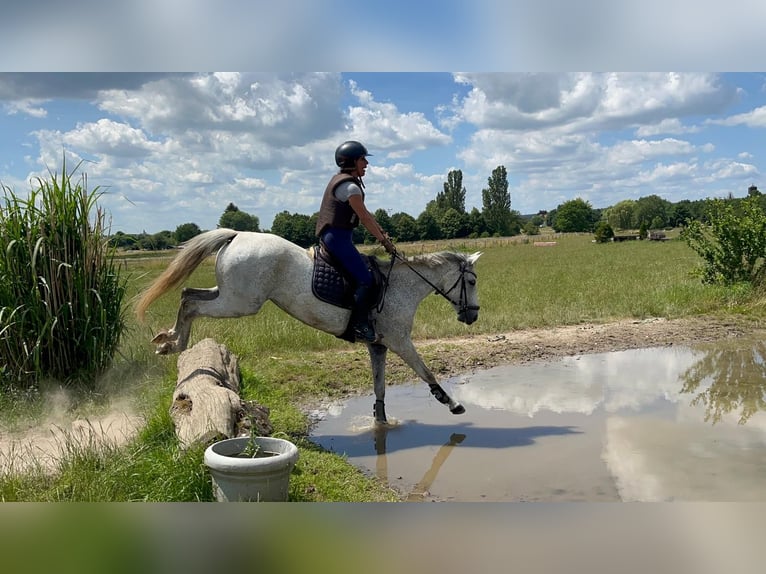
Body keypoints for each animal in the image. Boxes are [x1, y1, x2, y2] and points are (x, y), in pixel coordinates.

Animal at [134, 228, 480, 424]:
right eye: (473, 281)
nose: (473, 315)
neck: (401, 286)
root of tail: (237, 235)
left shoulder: (378, 344)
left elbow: (380, 386)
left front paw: (381, 421)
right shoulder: (400, 341)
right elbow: (427, 372)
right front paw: (453, 404)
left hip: (229, 295)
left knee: (187, 294)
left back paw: (169, 341)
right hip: (239, 302)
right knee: (192, 303)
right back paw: (175, 343)